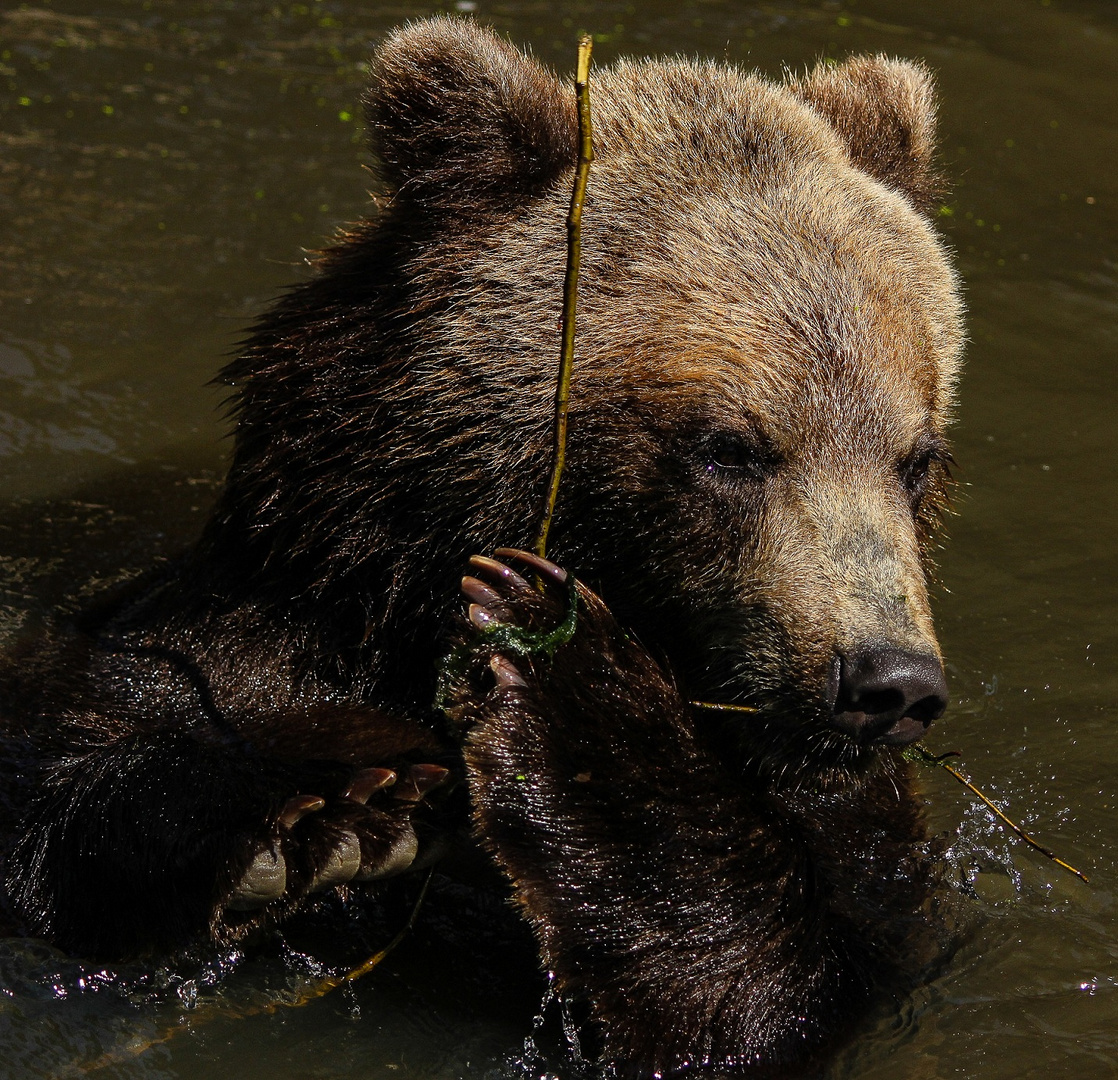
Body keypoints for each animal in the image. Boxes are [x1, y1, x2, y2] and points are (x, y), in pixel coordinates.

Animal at [0, 19, 961, 1080]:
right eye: (730, 448)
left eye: (915, 458)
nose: (888, 681)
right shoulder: (228, 638)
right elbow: (102, 769)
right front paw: (340, 814)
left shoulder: (863, 845)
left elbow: (757, 991)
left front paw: (561, 663)